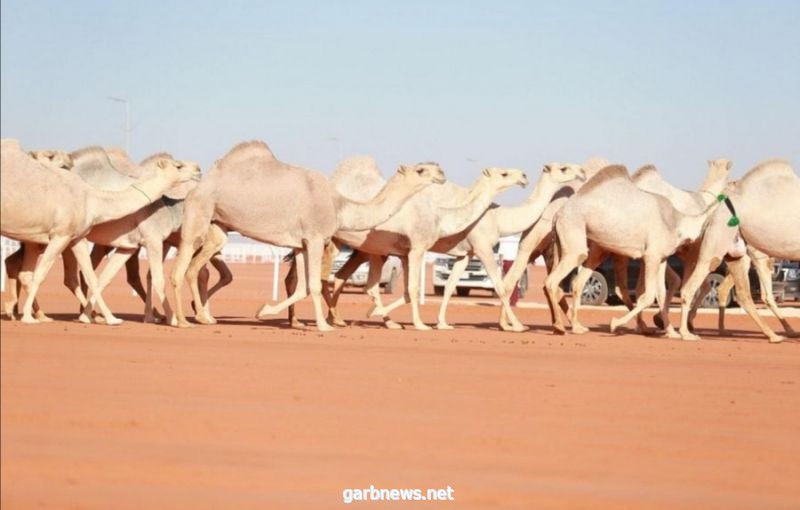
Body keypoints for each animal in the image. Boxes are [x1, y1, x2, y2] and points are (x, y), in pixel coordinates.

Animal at [0, 139, 198, 324]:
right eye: (178, 165)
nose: (198, 168)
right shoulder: (152, 239)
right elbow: (156, 278)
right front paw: (173, 319)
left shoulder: (113, 243)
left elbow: (99, 277)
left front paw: (106, 318)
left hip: (34, 237)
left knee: (22, 267)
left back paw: (23, 312)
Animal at [170, 140, 446, 330]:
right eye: (421, 170)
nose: (442, 173)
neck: (339, 205)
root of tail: (199, 185)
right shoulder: (315, 238)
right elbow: (313, 284)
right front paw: (323, 326)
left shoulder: (302, 244)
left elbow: (301, 287)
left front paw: (264, 310)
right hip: (199, 212)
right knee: (180, 268)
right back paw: (182, 320)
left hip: (219, 225)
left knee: (195, 268)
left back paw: (202, 316)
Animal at [322, 165, 528, 328]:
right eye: (504, 173)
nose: (524, 176)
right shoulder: (421, 248)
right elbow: (413, 288)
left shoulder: (409, 253)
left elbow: (418, 288)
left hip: (362, 250)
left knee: (343, 277)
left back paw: (339, 319)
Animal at [544, 165, 724, 336]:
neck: (677, 222)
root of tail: (558, 214)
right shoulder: (652, 255)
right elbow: (648, 295)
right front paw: (614, 324)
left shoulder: (662, 257)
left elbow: (661, 293)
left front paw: (671, 332)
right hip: (574, 234)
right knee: (553, 280)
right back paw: (559, 327)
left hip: (583, 247)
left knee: (577, 282)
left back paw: (577, 327)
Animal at [676, 159, 800, 342]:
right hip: (717, 243)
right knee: (691, 286)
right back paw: (686, 333)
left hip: (736, 253)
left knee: (744, 294)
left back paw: (773, 335)